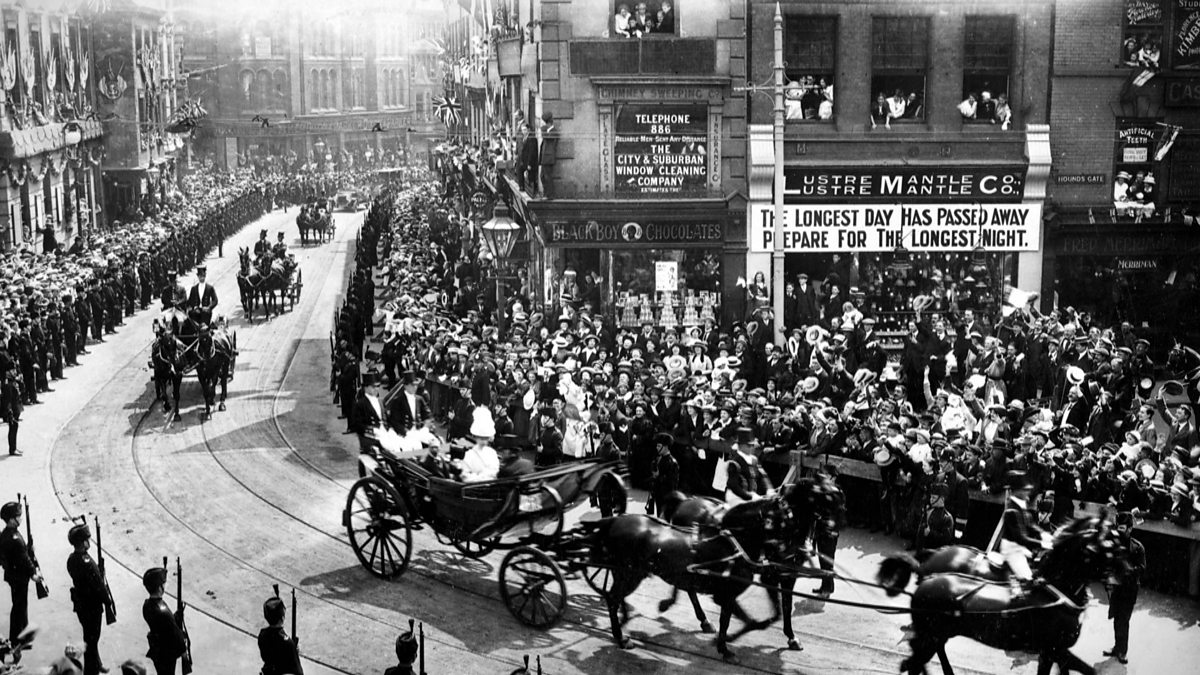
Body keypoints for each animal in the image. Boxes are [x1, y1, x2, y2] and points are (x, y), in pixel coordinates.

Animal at [583, 477, 844, 659]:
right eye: (823, 497)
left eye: (837, 497)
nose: (833, 531)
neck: (735, 541)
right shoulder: (755, 582)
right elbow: (762, 615)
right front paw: (728, 642)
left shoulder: (783, 577)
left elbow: (782, 610)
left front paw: (790, 637)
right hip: (630, 573)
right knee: (617, 596)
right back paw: (628, 630)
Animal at [888, 515, 1127, 675]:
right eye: (1108, 547)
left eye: (1118, 545)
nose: (1127, 573)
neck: (1054, 593)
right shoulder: (1054, 650)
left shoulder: (1053, 653)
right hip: (931, 637)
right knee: (915, 662)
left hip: (937, 635)